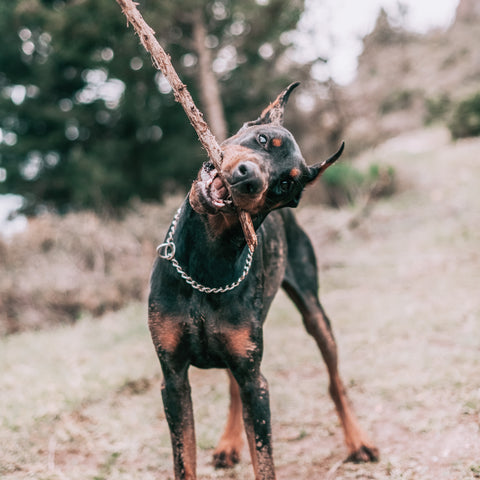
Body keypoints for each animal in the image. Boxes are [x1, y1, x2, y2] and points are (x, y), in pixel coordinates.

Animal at [148, 84, 380, 478]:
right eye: (262, 139)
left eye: (285, 184)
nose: (250, 178)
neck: (208, 264)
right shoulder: (174, 378)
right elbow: (184, 460)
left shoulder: (255, 382)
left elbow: (264, 459)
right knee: (232, 390)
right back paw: (228, 443)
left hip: (315, 315)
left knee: (335, 382)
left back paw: (358, 440)